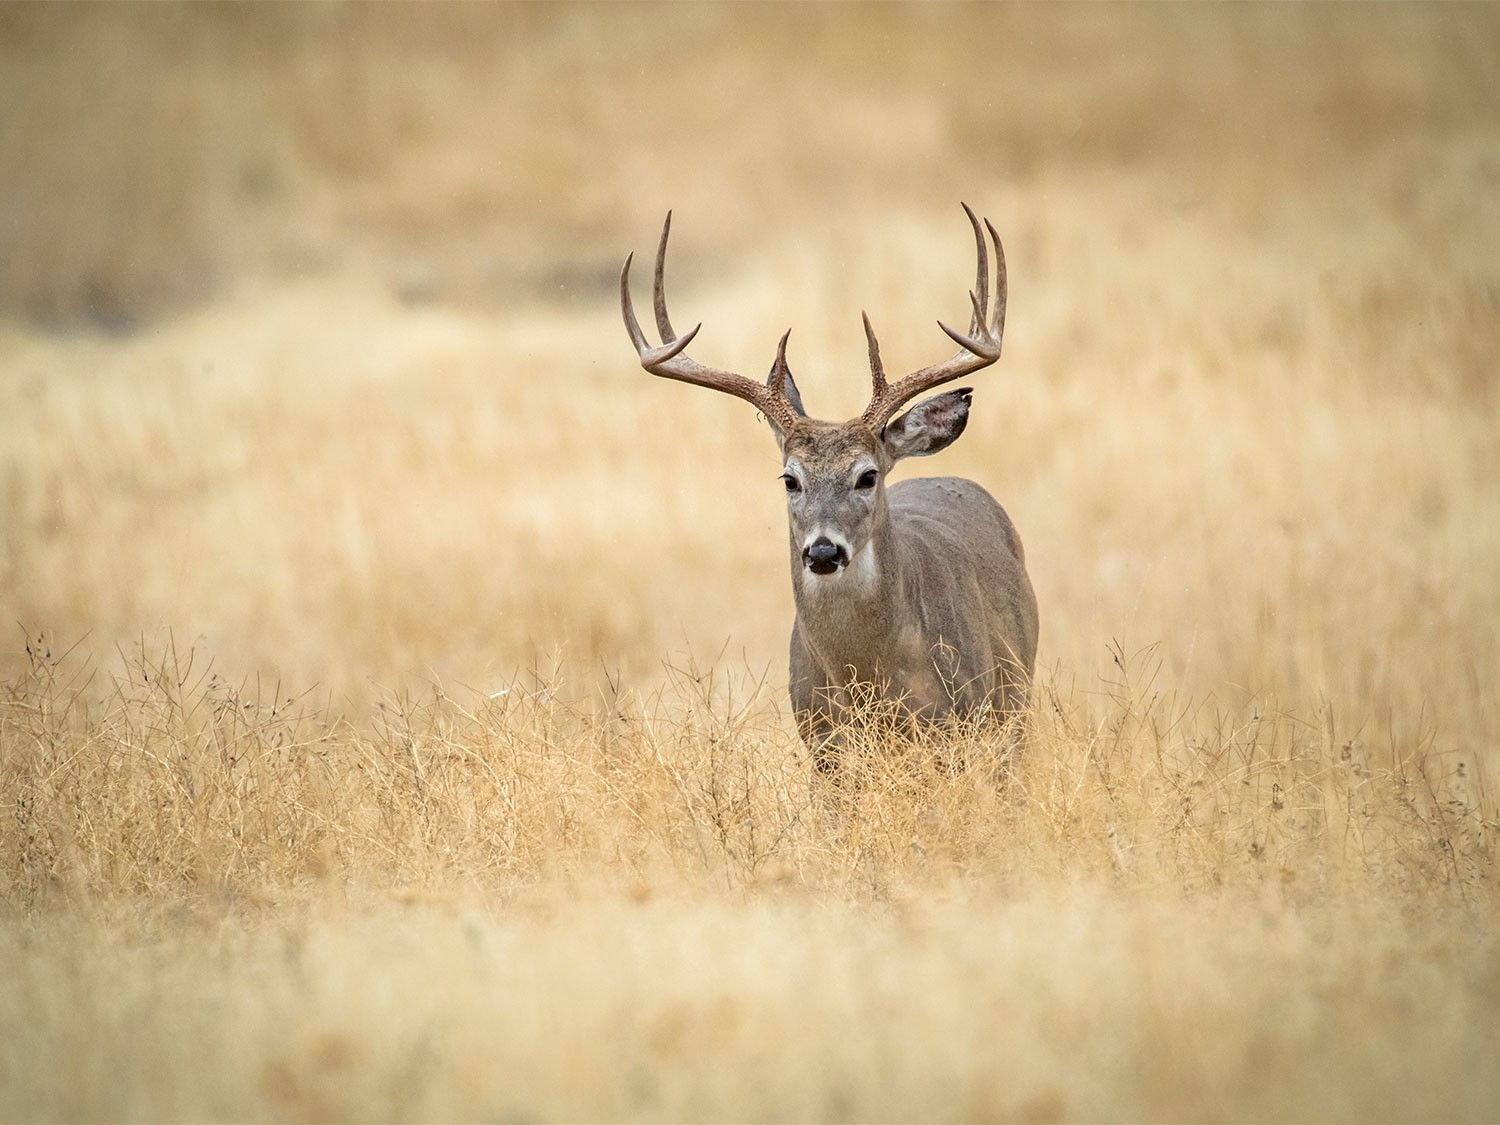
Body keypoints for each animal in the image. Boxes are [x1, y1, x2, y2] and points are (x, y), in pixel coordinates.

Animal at [618, 207, 1032, 774]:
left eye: (868, 476)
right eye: (790, 478)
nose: (822, 552)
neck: (872, 678)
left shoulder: (962, 724)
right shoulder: (821, 743)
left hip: (1016, 700)